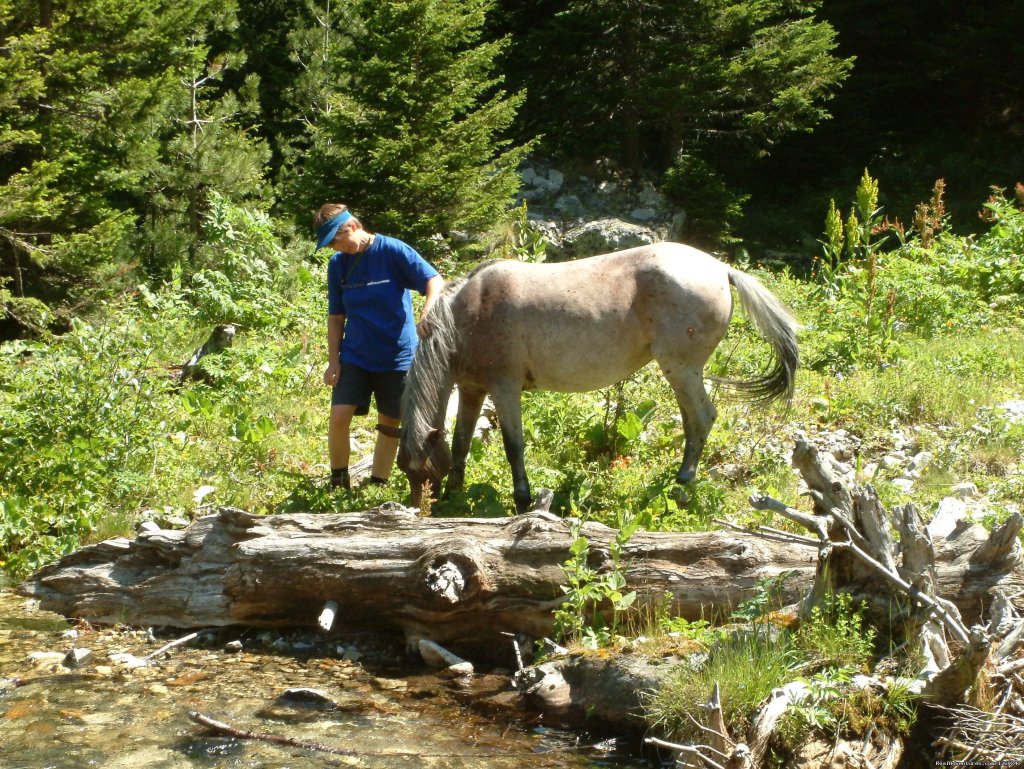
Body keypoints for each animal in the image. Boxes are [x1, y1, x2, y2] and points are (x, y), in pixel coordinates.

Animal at [395, 243, 794, 514]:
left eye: (421, 472)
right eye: (406, 470)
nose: (422, 511)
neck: (470, 313)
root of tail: (720, 268)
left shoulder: (504, 389)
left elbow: (513, 446)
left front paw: (522, 500)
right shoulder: (472, 389)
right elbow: (462, 442)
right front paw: (456, 494)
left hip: (681, 369)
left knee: (701, 419)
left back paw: (681, 487)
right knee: (693, 421)